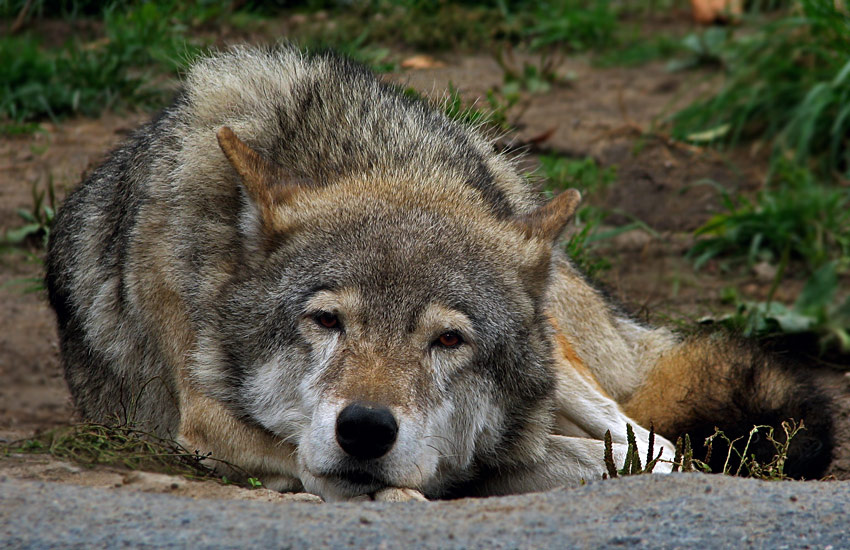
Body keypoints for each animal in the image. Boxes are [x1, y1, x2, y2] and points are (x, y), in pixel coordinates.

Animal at [46, 46, 833, 501]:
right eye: (325, 321)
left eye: (449, 340)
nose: (366, 429)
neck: (355, 153)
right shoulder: (206, 418)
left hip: (568, 359)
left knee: (655, 442)